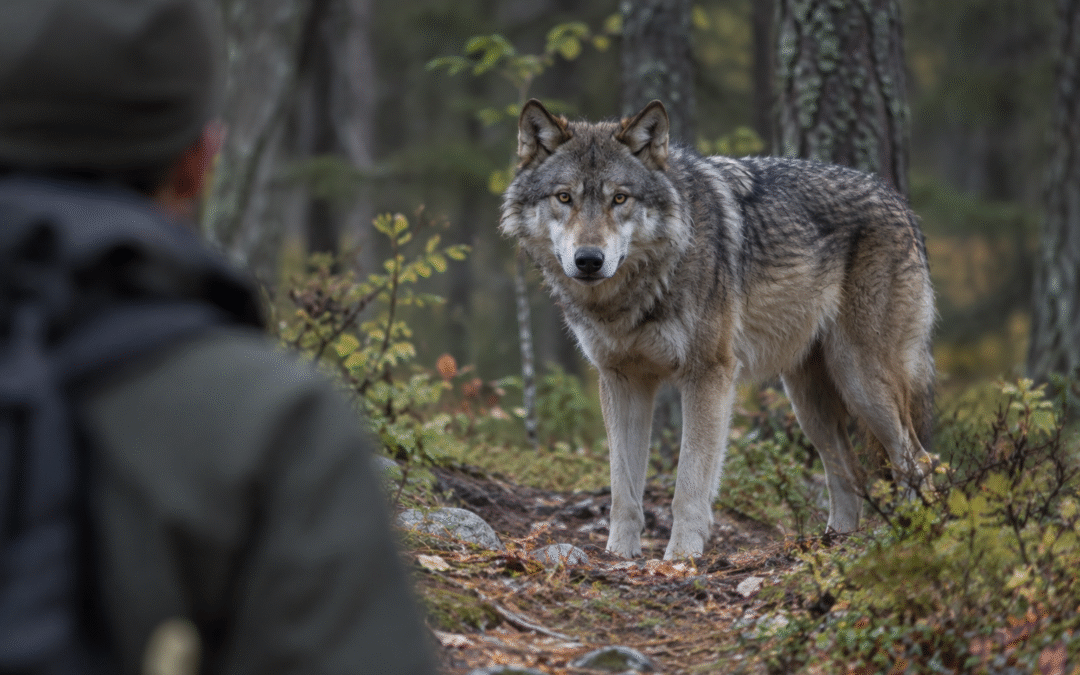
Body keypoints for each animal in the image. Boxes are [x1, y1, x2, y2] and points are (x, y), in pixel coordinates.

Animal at [500, 99, 936, 560]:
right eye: (564, 197)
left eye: (619, 198)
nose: (588, 260)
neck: (638, 291)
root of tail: (901, 202)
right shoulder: (621, 380)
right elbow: (623, 488)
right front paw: (619, 555)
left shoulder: (708, 375)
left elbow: (689, 484)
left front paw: (680, 558)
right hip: (809, 403)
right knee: (850, 473)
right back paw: (832, 544)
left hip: (861, 381)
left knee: (918, 460)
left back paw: (910, 536)